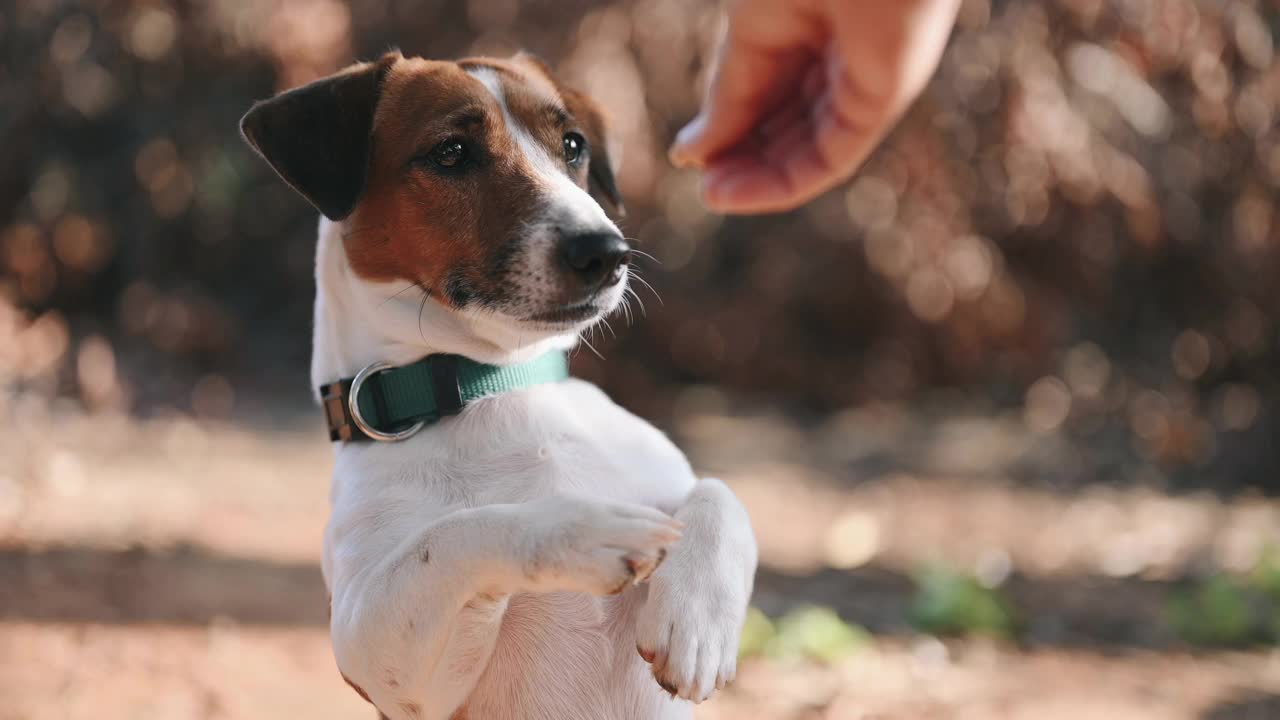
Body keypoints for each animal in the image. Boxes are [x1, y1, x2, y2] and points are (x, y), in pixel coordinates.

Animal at [239, 51, 752, 717]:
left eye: (573, 146)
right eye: (451, 152)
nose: (607, 251)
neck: (499, 384)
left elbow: (720, 492)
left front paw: (697, 624)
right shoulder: (376, 647)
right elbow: (456, 532)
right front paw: (582, 530)